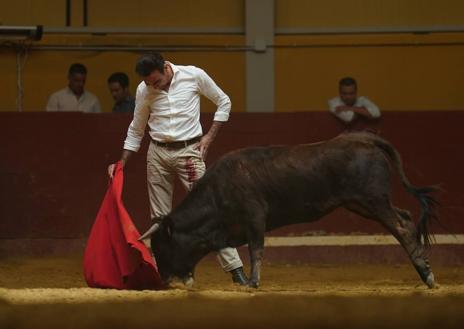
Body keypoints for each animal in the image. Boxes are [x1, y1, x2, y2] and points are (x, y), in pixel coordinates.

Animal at [141, 132, 438, 288]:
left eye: (161, 246)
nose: (164, 280)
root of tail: (362, 138)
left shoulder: (254, 217)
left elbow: (256, 249)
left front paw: (253, 283)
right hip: (360, 203)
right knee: (406, 218)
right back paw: (425, 272)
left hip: (372, 199)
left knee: (401, 226)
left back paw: (428, 276)